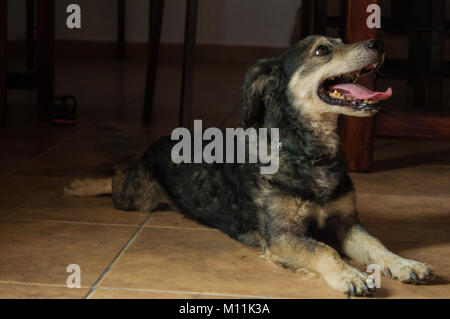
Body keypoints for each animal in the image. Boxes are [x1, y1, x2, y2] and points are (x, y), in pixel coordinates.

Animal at [65, 36, 434, 296]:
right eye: (322, 50)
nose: (378, 43)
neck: (306, 153)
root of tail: (158, 143)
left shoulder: (345, 221)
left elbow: (376, 245)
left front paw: (405, 264)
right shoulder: (282, 236)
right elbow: (324, 249)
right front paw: (349, 274)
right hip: (135, 197)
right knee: (118, 175)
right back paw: (79, 184)